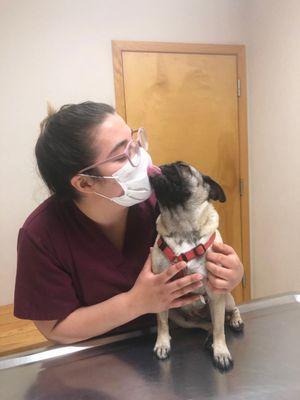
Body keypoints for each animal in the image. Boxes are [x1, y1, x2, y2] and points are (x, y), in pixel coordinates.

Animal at [148, 160, 244, 372]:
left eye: (182, 167)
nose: (163, 165)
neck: (181, 226)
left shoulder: (216, 293)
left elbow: (220, 329)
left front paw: (221, 352)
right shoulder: (160, 292)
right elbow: (161, 322)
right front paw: (162, 343)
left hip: (226, 298)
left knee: (225, 317)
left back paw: (235, 321)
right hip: (181, 318)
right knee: (206, 326)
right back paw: (208, 338)